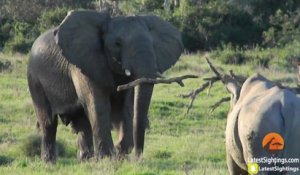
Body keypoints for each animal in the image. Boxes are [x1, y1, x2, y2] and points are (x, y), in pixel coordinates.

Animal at [27, 9, 183, 163]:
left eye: (153, 44)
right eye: (117, 43)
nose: (138, 158)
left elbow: (128, 106)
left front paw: (120, 154)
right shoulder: (83, 64)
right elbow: (98, 104)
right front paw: (108, 158)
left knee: (82, 123)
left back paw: (86, 160)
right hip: (34, 79)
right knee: (48, 121)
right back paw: (49, 162)